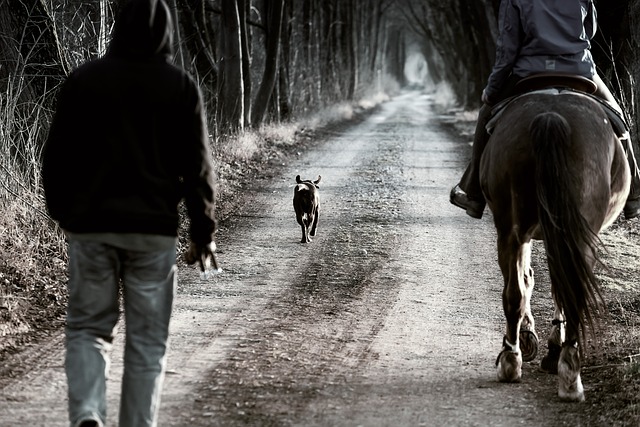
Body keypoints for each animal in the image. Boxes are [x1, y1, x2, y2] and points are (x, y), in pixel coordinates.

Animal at [480, 88, 632, 402]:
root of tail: (552, 117)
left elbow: (532, 281)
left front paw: (534, 339)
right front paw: (545, 344)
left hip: (514, 230)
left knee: (517, 292)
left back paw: (516, 360)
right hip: (573, 233)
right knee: (565, 291)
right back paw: (567, 371)